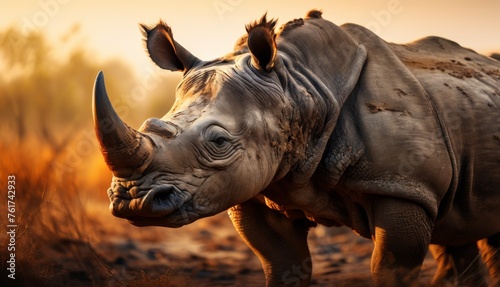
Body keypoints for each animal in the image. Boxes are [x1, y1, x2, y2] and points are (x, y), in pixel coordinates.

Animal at [93, 9, 500, 287]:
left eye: (219, 142)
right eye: (149, 126)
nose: (132, 200)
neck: (299, 86)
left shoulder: (403, 185)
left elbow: (390, 269)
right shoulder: (256, 187)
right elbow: (283, 265)